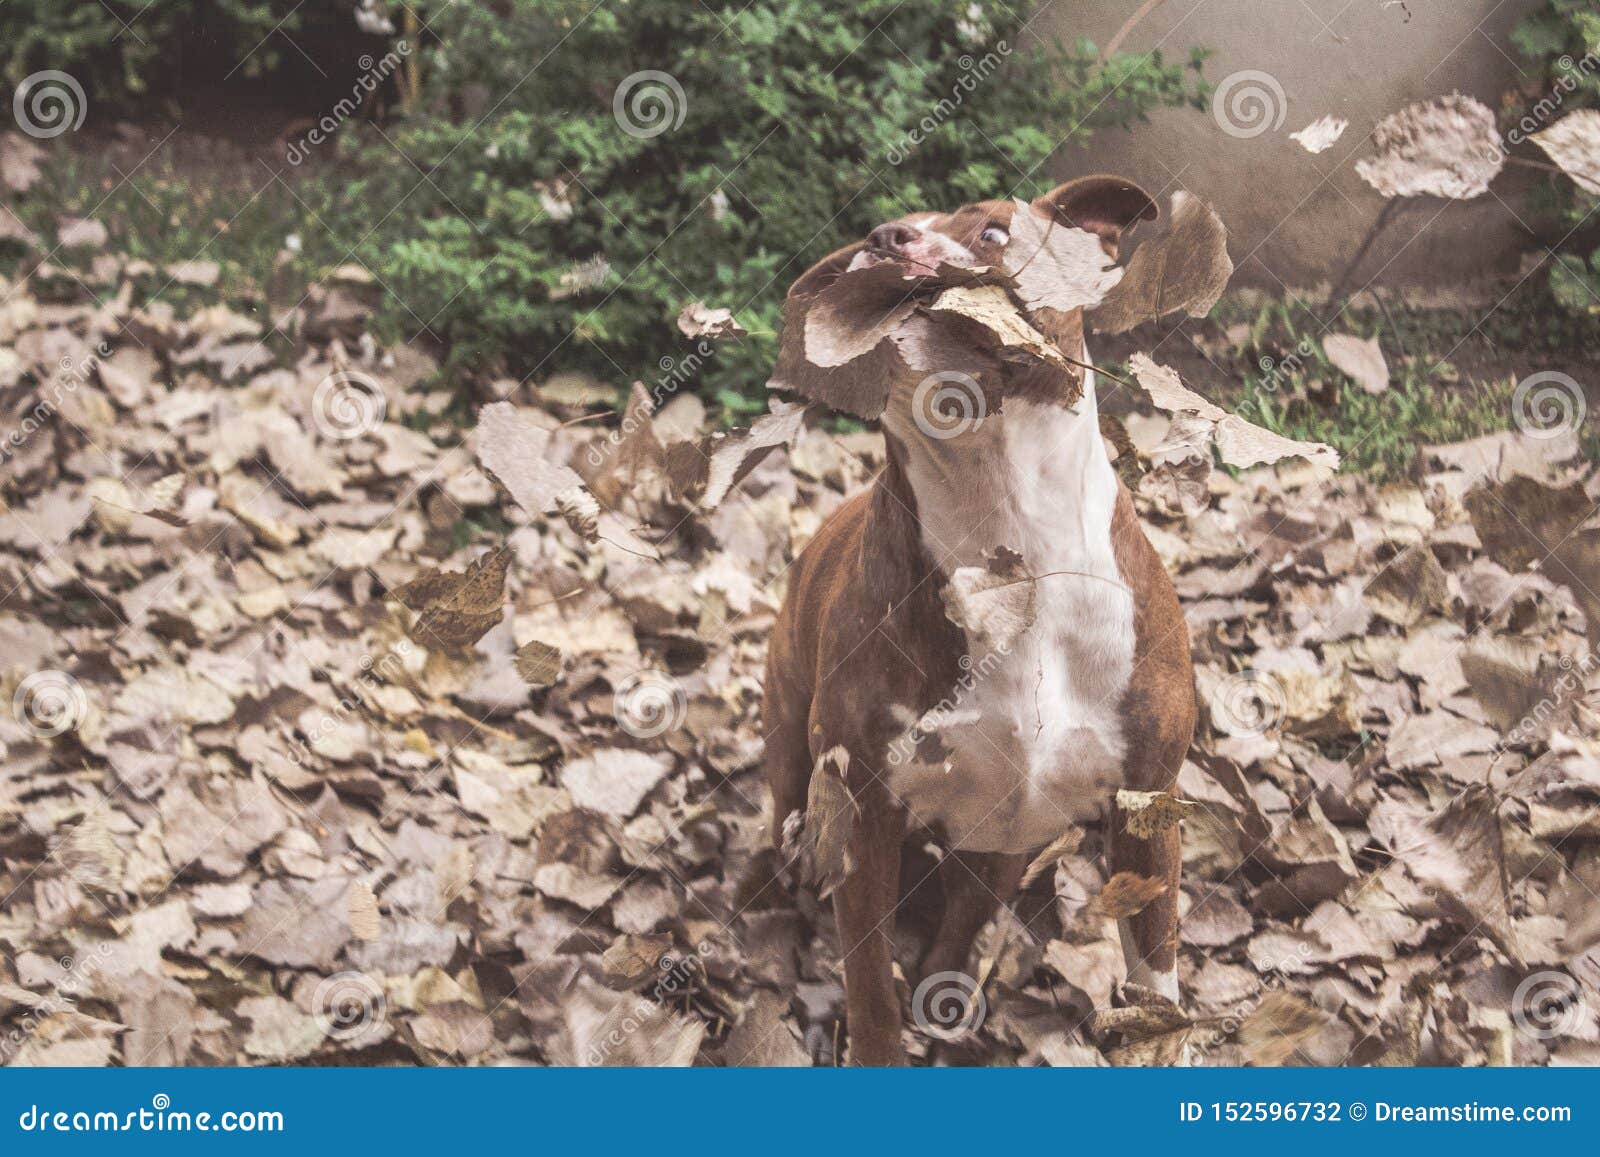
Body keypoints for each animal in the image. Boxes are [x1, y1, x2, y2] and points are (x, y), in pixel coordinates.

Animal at [764, 174, 1203, 1068]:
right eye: (858, 251)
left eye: (995, 231)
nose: (887, 239)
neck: (1006, 536)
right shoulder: (861, 814)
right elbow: (870, 990)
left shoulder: (1147, 806)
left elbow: (1155, 977)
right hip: (794, 740)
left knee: (973, 902)